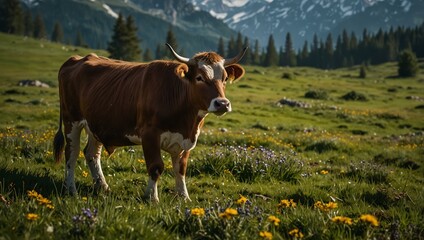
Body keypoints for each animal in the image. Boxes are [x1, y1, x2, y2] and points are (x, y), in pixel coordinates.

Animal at [53, 43, 247, 202]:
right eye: (199, 77)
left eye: (224, 78)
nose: (222, 103)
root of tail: (76, 59)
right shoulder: (149, 135)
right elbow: (156, 167)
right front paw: (152, 197)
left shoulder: (186, 140)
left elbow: (181, 169)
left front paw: (184, 197)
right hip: (72, 120)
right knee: (72, 153)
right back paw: (71, 189)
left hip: (96, 124)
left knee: (91, 154)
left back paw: (103, 186)